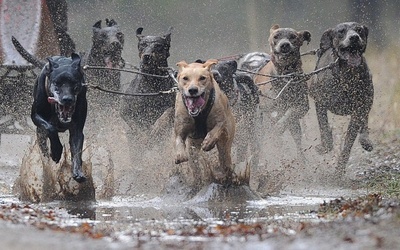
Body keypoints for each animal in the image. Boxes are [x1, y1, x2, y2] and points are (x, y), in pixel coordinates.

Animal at [31, 52, 87, 183]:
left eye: (74, 83)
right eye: (57, 83)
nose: (67, 99)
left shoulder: (77, 130)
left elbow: (77, 151)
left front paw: (77, 171)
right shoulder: (35, 116)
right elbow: (50, 128)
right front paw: (56, 150)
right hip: (40, 133)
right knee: (44, 148)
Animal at [255, 23, 310, 160]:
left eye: (293, 36)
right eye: (276, 36)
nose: (284, 44)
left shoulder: (302, 106)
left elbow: (288, 116)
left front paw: (279, 127)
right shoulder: (268, 109)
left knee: (297, 140)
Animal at [310, 22, 376, 174]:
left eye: (359, 30)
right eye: (341, 31)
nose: (354, 37)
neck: (347, 75)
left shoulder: (358, 110)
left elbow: (348, 144)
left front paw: (339, 171)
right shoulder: (320, 103)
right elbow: (324, 129)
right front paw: (324, 146)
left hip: (368, 100)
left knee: (365, 120)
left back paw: (365, 139)